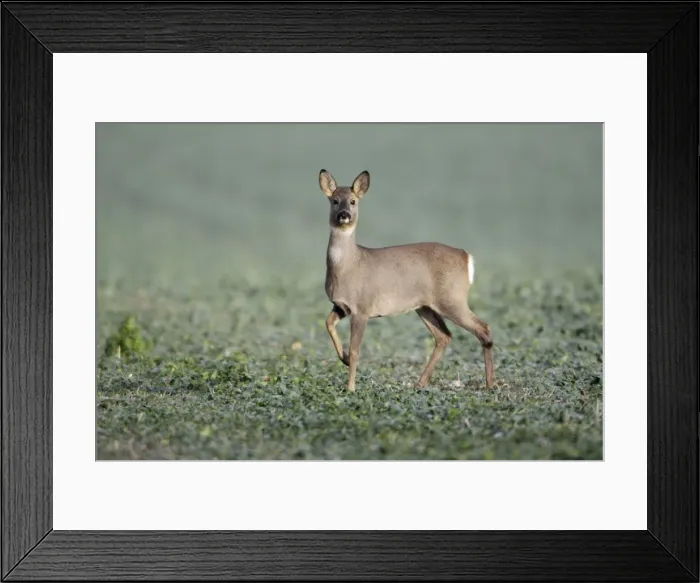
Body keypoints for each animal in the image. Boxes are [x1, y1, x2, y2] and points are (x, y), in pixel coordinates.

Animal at [320, 169, 495, 393]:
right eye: (334, 200)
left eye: (353, 201)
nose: (344, 215)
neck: (349, 265)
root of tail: (466, 257)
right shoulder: (341, 306)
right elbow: (328, 324)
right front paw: (343, 359)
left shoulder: (363, 308)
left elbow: (355, 349)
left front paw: (350, 388)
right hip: (425, 306)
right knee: (444, 336)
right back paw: (420, 383)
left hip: (452, 299)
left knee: (483, 329)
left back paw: (491, 383)